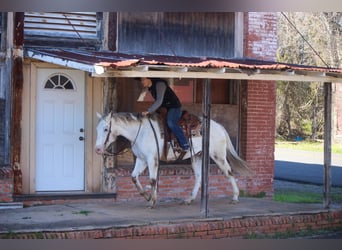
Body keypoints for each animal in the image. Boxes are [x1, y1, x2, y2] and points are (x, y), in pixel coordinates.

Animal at [95, 112, 250, 208]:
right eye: (97, 129)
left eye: (106, 129)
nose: (97, 149)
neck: (140, 132)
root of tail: (219, 127)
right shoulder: (141, 159)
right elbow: (134, 177)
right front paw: (146, 196)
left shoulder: (151, 159)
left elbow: (152, 180)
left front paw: (152, 201)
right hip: (197, 156)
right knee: (199, 177)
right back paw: (189, 199)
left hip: (218, 155)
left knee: (229, 173)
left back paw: (235, 197)